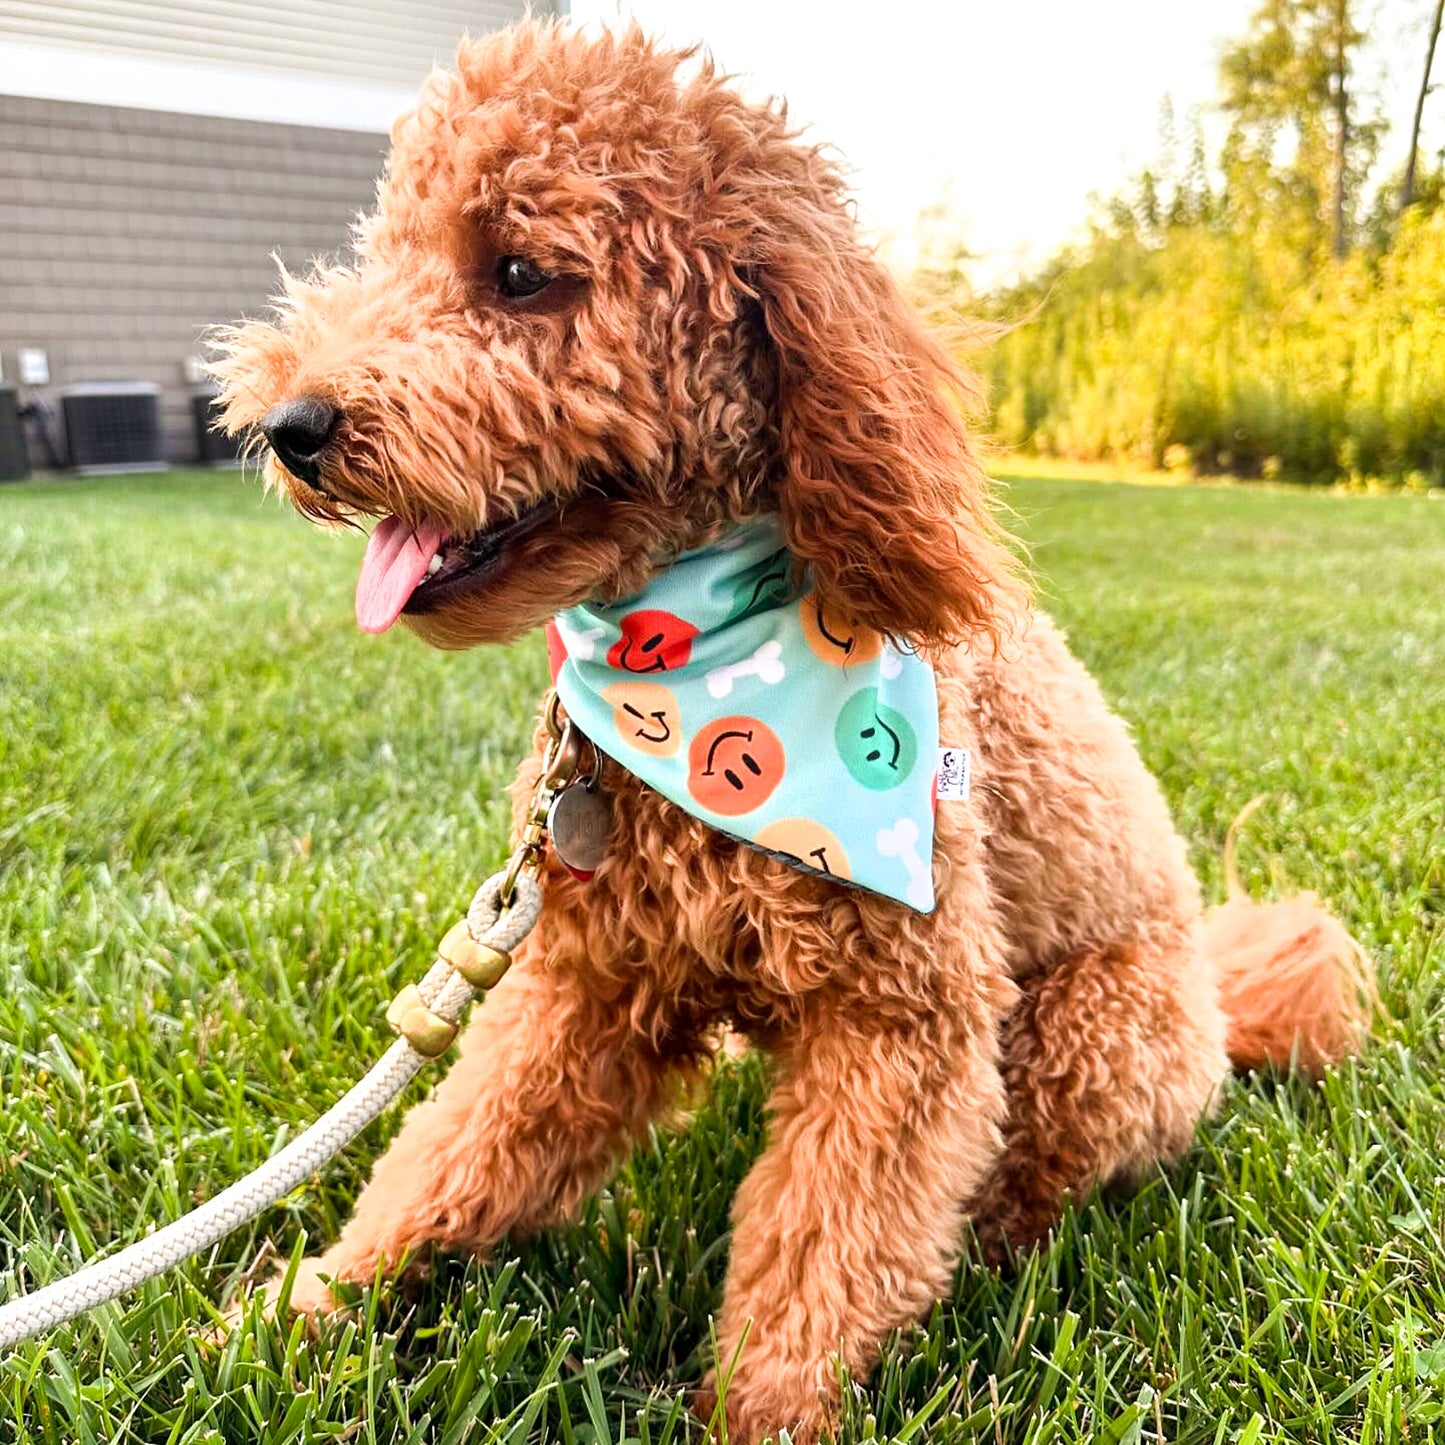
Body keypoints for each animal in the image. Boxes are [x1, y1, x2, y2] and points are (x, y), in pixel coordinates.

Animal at [210, 16, 1364, 1439]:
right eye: (390, 253)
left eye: (521, 273)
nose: (290, 425)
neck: (690, 659)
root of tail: (1216, 989)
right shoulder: (584, 989)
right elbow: (453, 1150)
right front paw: (308, 1303)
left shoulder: (903, 1021)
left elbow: (821, 1250)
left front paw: (760, 1411)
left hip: (1091, 1028)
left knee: (1035, 1174)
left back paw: (996, 1261)